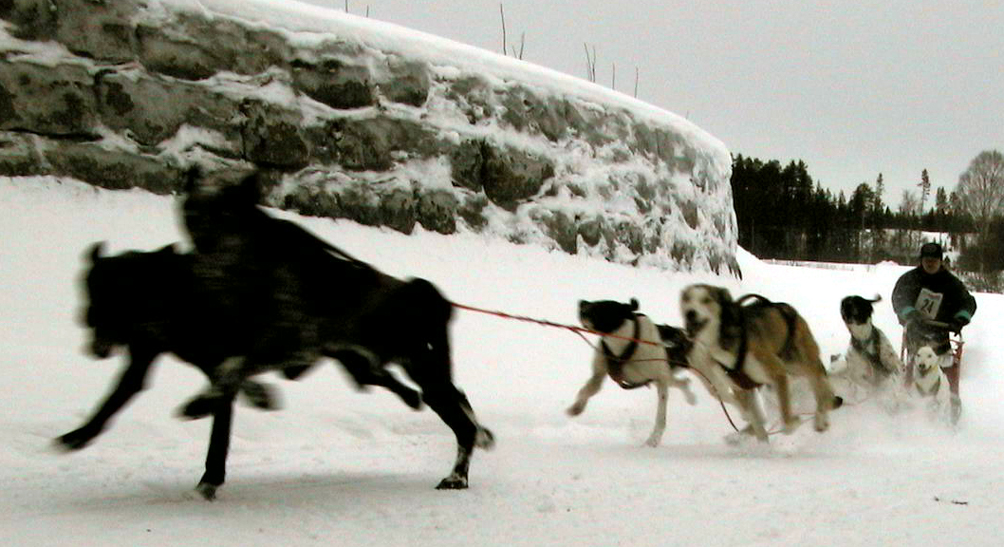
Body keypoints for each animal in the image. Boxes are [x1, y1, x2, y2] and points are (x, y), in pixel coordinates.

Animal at [178, 168, 494, 495]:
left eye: (225, 213)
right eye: (192, 212)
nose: (202, 254)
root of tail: (423, 293)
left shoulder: (293, 344)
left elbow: (235, 367)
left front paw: (208, 402)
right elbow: (229, 379)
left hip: (425, 373)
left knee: (463, 424)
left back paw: (458, 476)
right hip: (408, 372)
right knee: (453, 403)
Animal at [567, 298, 695, 447]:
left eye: (601, 306)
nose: (581, 302)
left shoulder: (661, 379)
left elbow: (660, 417)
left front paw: (653, 439)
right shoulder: (599, 373)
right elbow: (587, 390)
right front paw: (576, 408)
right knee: (682, 382)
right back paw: (690, 396)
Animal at [680, 284, 841, 442]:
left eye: (706, 300)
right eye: (687, 299)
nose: (690, 313)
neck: (722, 339)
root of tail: (786, 308)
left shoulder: (778, 373)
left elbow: (786, 419)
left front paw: (793, 423)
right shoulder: (741, 389)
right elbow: (757, 424)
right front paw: (763, 444)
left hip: (800, 364)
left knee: (820, 386)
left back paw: (821, 417)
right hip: (790, 368)